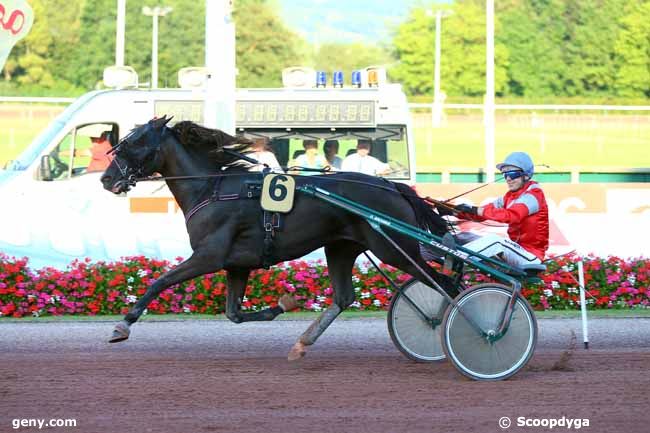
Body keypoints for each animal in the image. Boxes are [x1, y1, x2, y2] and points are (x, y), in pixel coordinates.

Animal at [102, 116, 456, 360]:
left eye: (134, 143)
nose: (106, 178)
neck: (211, 189)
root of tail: (391, 185)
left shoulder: (208, 256)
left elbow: (159, 282)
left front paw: (123, 325)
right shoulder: (237, 265)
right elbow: (234, 314)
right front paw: (284, 304)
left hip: (393, 248)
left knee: (446, 284)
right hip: (341, 247)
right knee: (344, 297)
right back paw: (302, 343)